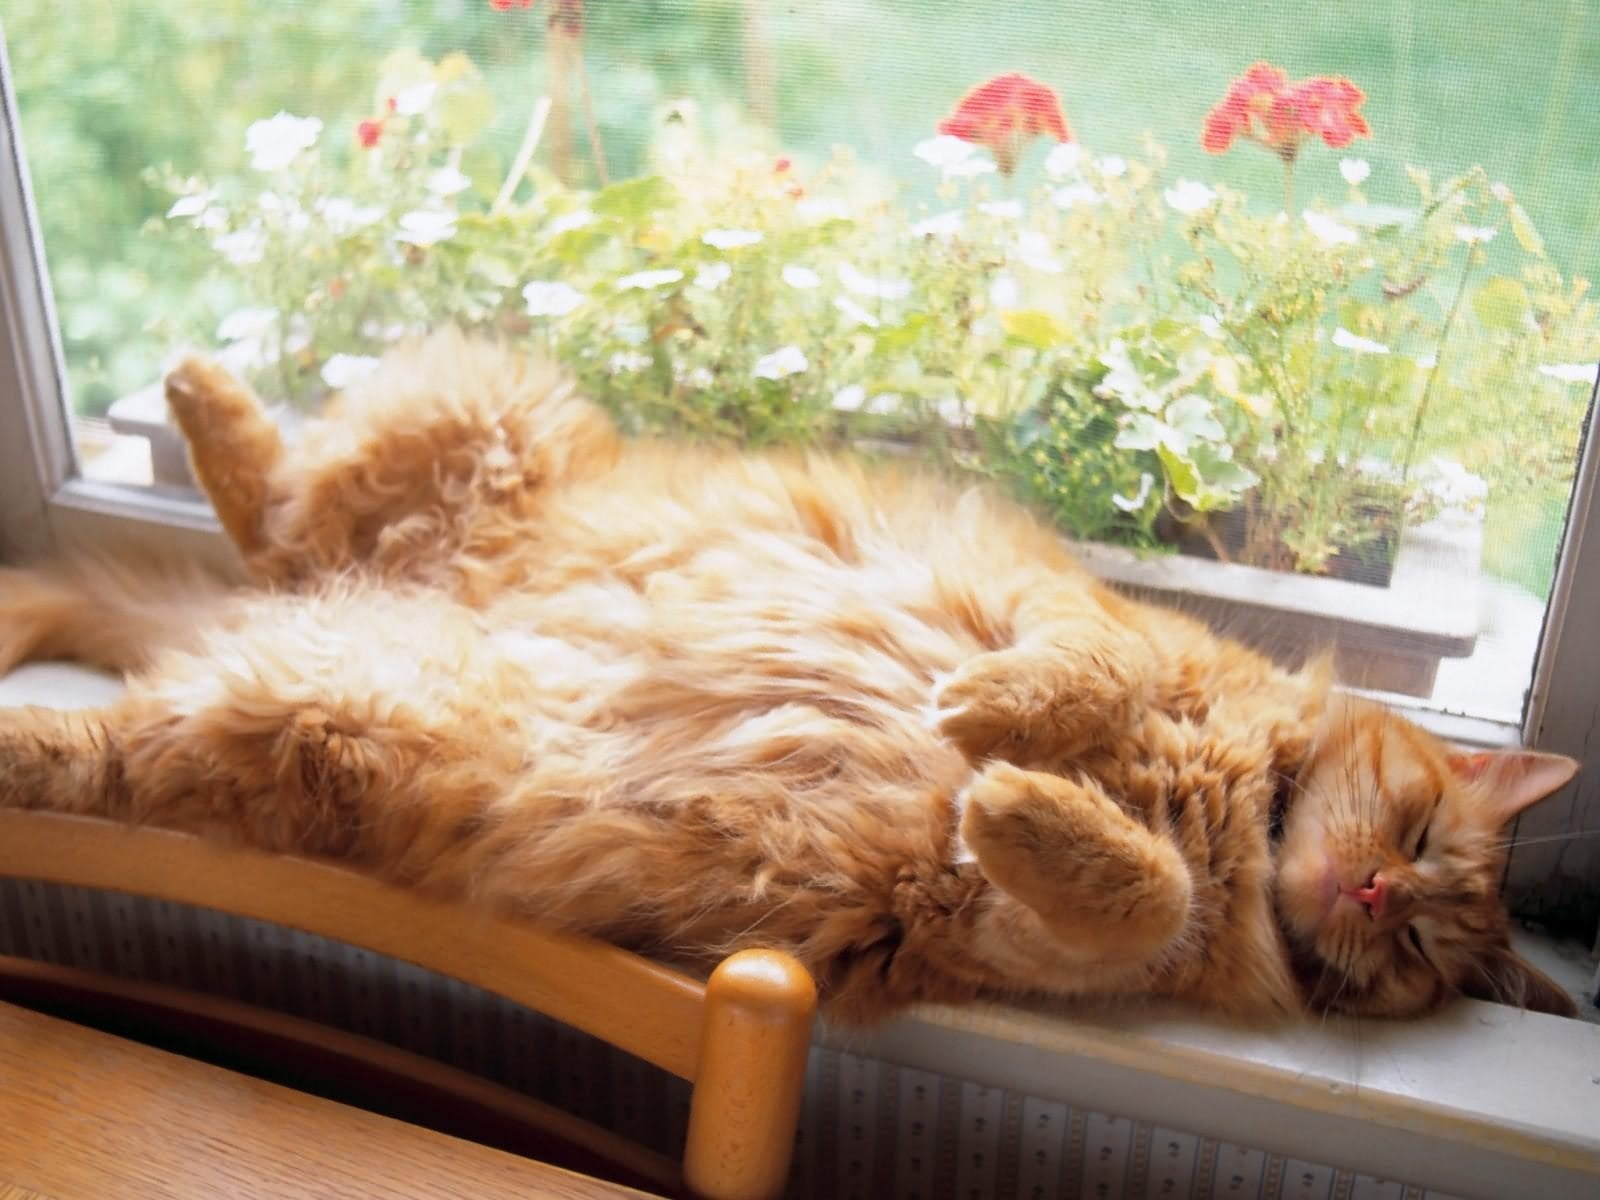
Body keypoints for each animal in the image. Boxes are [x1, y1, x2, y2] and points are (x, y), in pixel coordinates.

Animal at [0, 331, 1574, 1024]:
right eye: (1417, 836)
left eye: (1419, 950)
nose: (1370, 894)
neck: (1232, 813)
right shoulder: (1072, 611)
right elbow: (1089, 676)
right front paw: (993, 719)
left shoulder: (1003, 933)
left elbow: (1137, 892)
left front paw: (1018, 797)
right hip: (478, 420)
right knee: (276, 506)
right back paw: (199, 386)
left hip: (309, 716)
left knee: (109, 727)